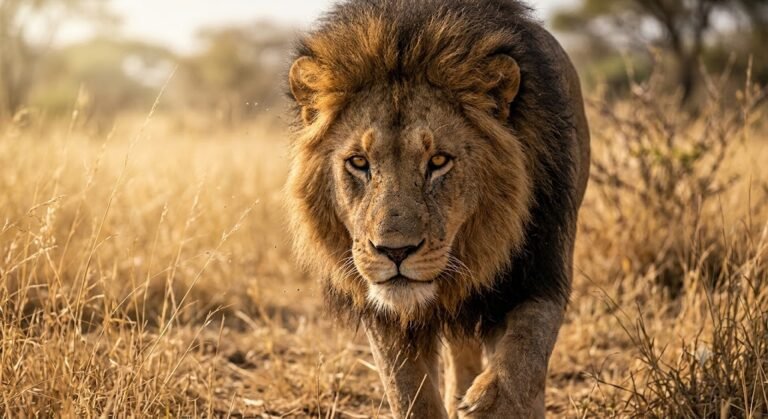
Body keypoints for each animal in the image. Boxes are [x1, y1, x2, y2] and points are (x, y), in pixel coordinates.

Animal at [285, 0, 590, 417]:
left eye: (439, 161)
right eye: (359, 162)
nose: (395, 251)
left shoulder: (541, 274)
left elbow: (524, 355)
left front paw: (491, 401)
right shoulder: (383, 312)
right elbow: (408, 392)